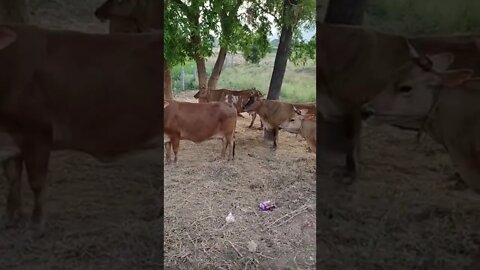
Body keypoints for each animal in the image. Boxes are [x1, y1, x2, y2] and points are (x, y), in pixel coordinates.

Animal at [0, 23, 165, 230]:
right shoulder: (10, 140)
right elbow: (13, 179)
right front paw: (10, 218)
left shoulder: (37, 132)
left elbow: (36, 182)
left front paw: (36, 223)